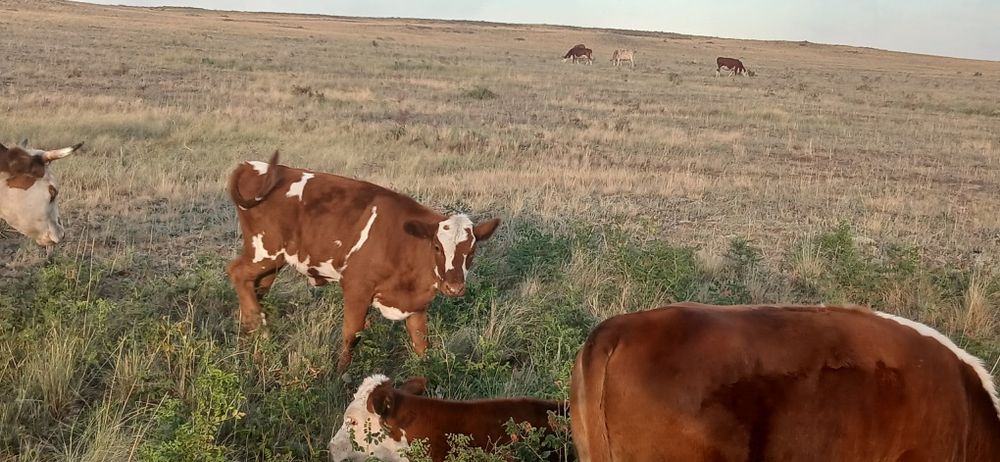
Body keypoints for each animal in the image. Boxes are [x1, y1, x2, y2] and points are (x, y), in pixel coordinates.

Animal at [226, 153, 500, 373]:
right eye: (437, 247)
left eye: (472, 250)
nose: (454, 288)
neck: (404, 244)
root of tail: (254, 166)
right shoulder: (356, 287)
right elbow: (352, 333)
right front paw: (338, 375)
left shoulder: (416, 304)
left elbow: (422, 343)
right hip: (265, 252)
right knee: (237, 272)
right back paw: (257, 328)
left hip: (272, 262)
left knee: (255, 288)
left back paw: (248, 333)